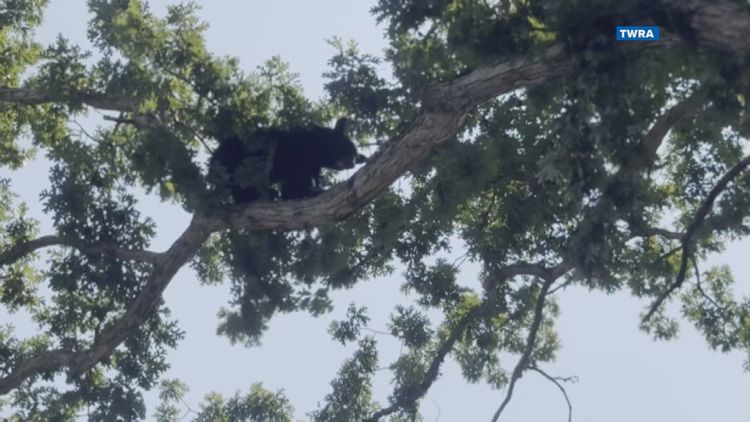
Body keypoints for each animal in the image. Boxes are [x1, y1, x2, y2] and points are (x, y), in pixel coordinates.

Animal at [209, 118, 366, 203]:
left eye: (355, 155)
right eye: (347, 149)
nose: (353, 162)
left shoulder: (311, 167)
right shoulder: (296, 155)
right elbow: (290, 190)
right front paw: (312, 192)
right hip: (236, 157)